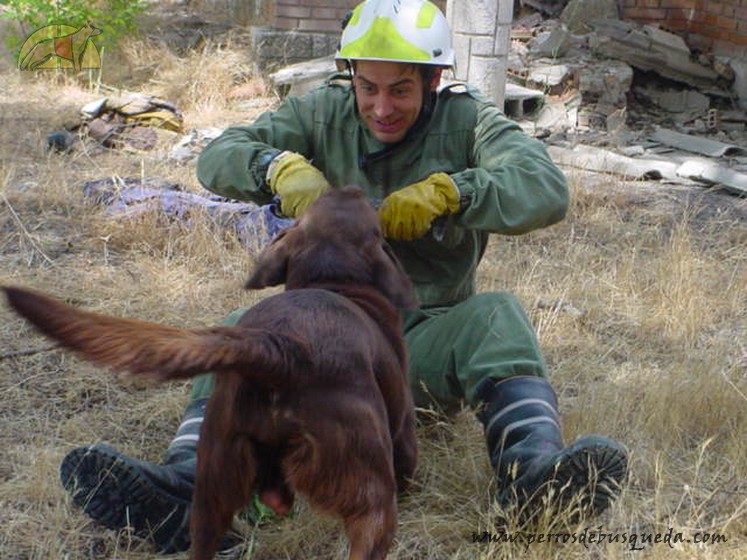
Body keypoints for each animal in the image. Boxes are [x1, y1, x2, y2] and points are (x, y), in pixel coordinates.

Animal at [1, 187, 420, 560]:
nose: (350, 186)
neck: (332, 279)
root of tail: (283, 348)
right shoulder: (402, 428)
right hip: (369, 499)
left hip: (211, 491)